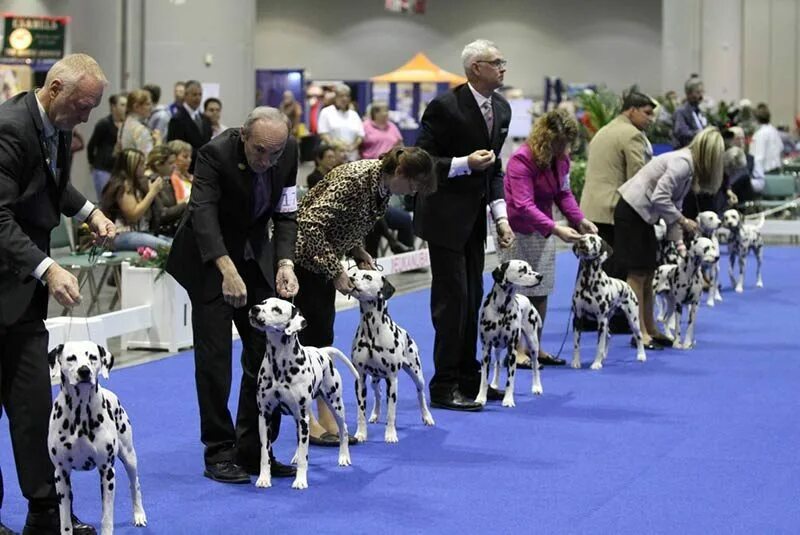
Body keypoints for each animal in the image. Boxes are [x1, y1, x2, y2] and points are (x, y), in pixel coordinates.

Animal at [47, 344, 147, 535]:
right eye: (71, 358)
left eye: (93, 357)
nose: (84, 371)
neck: (80, 413)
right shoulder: (61, 474)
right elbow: (65, 519)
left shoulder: (107, 472)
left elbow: (106, 517)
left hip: (129, 456)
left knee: (135, 484)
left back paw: (139, 514)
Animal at [248, 300, 358, 492]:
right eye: (263, 303)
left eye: (276, 309)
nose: (255, 309)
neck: (280, 365)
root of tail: (323, 352)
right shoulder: (265, 416)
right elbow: (265, 454)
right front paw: (264, 478)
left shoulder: (302, 418)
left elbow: (304, 456)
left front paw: (300, 480)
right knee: (300, 441)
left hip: (335, 404)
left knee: (343, 430)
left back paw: (344, 457)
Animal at [348, 270, 438, 442]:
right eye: (355, 273)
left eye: (368, 277)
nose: (350, 279)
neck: (371, 331)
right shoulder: (360, 379)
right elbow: (360, 413)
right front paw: (361, 434)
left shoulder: (392, 379)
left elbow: (391, 411)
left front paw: (390, 434)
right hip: (374, 380)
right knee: (378, 394)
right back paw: (375, 414)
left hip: (417, 375)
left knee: (420, 395)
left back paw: (427, 417)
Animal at [476, 260, 544, 406]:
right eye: (522, 269)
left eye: (530, 268)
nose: (540, 276)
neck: (502, 309)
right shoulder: (486, 349)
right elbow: (483, 378)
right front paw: (481, 398)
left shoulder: (512, 350)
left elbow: (510, 380)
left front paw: (508, 400)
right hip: (496, 348)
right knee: (497, 364)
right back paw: (495, 384)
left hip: (533, 343)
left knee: (535, 365)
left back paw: (537, 387)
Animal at [572, 234, 648, 368]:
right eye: (582, 236)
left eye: (592, 239)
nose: (581, 241)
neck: (588, 281)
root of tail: (626, 285)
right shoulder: (578, 318)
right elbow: (577, 344)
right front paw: (576, 362)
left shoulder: (601, 320)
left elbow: (599, 345)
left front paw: (596, 364)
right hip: (607, 321)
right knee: (608, 336)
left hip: (632, 320)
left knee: (638, 336)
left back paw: (641, 355)